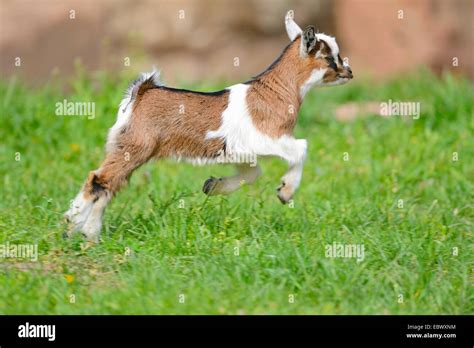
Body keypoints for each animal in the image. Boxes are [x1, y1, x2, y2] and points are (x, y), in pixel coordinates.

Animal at [64, 10, 352, 239]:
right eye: (331, 57)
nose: (349, 72)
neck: (276, 92)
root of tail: (141, 92)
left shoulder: (241, 151)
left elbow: (253, 173)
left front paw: (213, 186)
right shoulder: (267, 137)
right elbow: (301, 148)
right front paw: (285, 192)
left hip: (126, 147)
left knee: (108, 185)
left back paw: (83, 230)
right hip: (135, 148)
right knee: (99, 179)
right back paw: (79, 226)